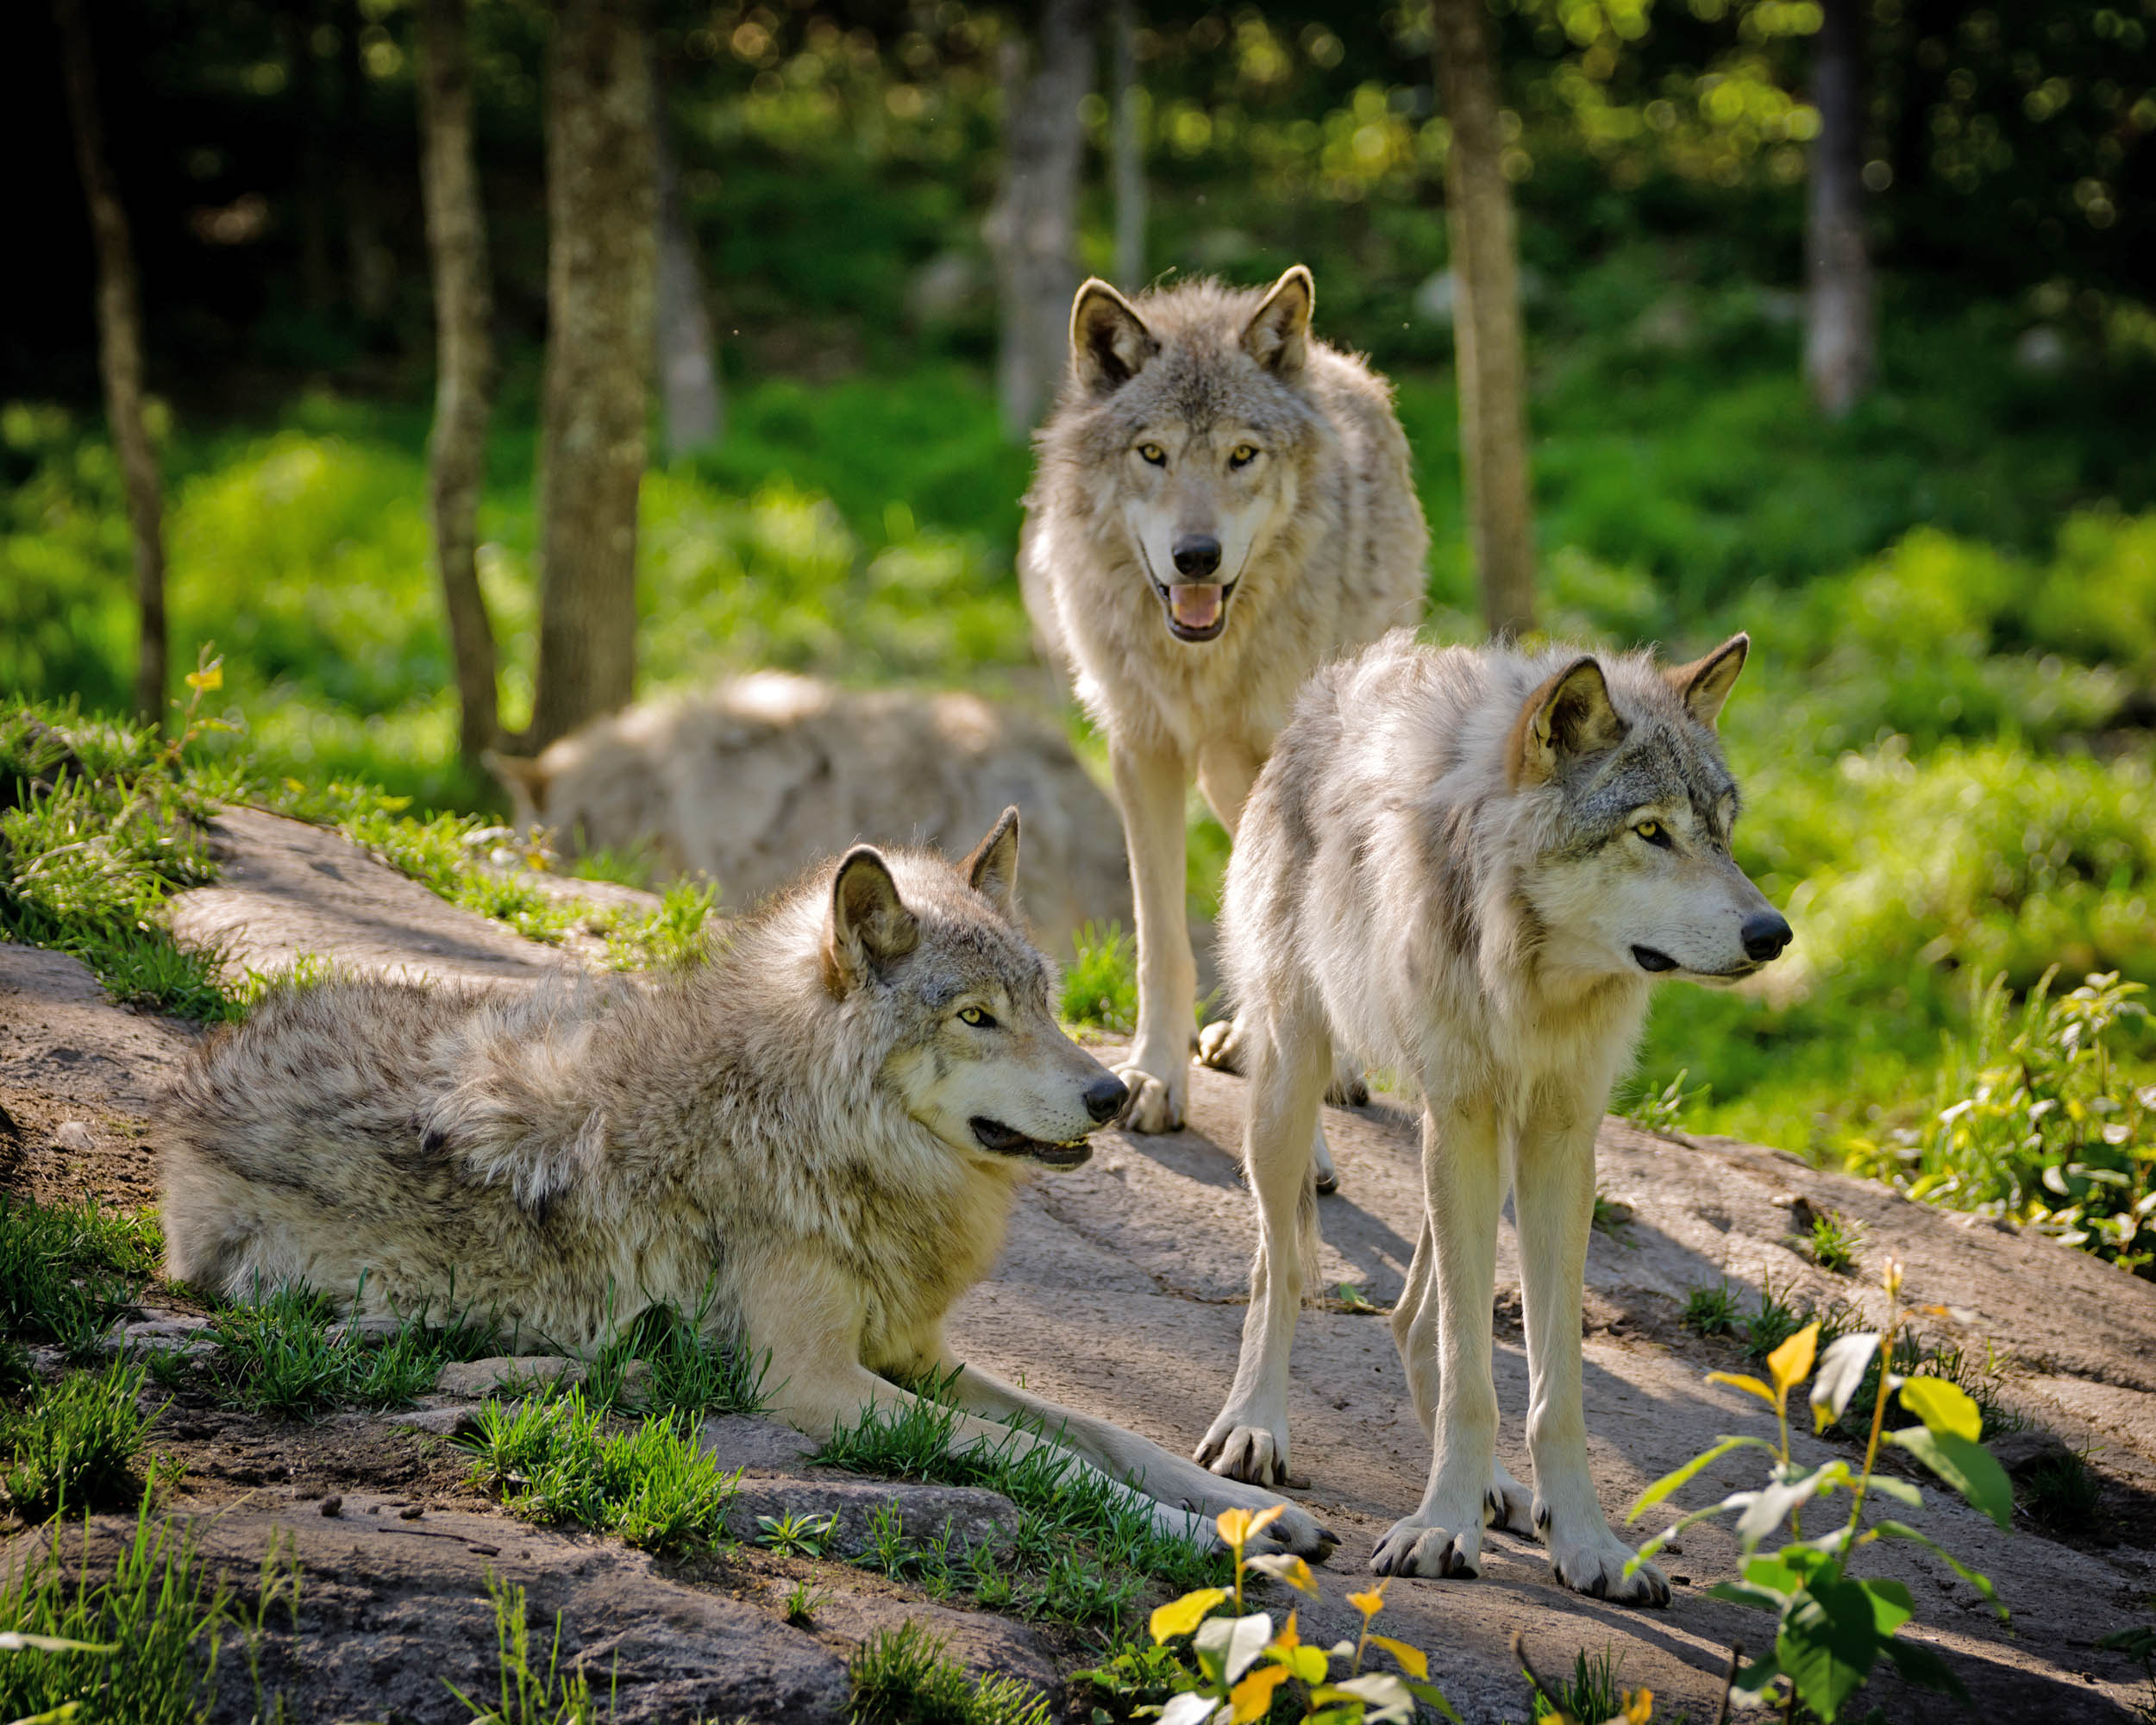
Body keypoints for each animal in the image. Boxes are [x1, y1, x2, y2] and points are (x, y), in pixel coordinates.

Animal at [161, 812, 1333, 1556]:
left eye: (1043, 1001)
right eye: (976, 1016)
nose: (1110, 1092)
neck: (800, 1121)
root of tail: (200, 1073)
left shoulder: (920, 1354)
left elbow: (1109, 1433)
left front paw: (1246, 1507)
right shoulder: (816, 1382)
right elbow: (1047, 1459)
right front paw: (1209, 1541)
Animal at [1020, 267, 1427, 1147]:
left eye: (1243, 455)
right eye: (1153, 453)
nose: (1197, 556)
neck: (1201, 661)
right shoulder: (1141, 748)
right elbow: (1161, 938)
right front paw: (1151, 1076)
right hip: (1217, 774)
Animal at [1191, 631, 1790, 1604]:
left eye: (1721, 831)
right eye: (1650, 830)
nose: (1773, 934)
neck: (1531, 976)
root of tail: (1331, 688)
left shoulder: (1559, 1137)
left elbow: (1553, 1384)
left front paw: (1584, 1540)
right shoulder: (1461, 1116)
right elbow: (1474, 1372)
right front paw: (1440, 1530)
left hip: (1481, 1147)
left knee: (1410, 1321)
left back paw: (1497, 1489)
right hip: (1293, 1088)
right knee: (1277, 1269)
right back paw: (1253, 1428)